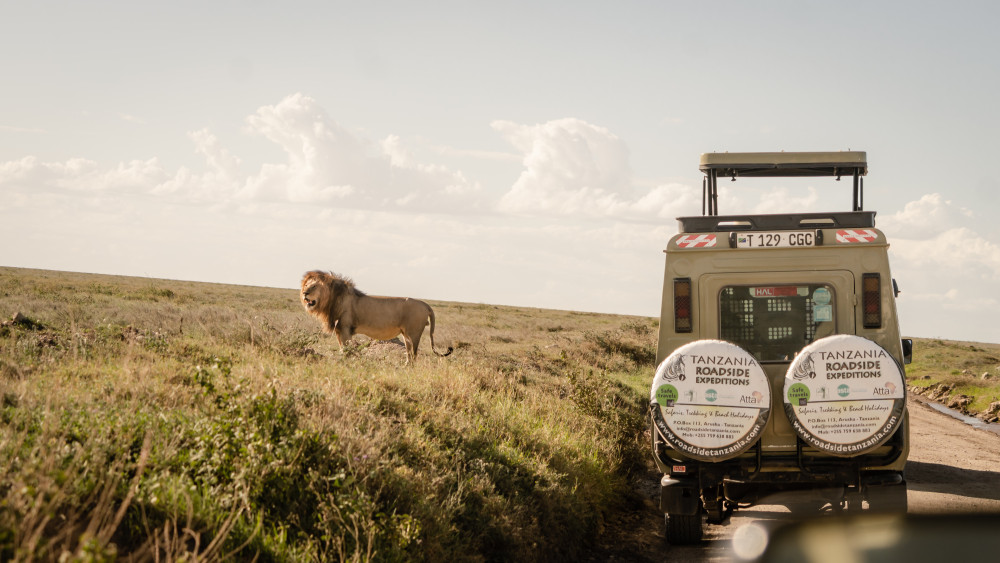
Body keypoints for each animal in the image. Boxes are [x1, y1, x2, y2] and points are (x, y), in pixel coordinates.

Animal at [296, 270, 454, 366]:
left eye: (314, 286)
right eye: (306, 284)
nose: (304, 293)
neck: (331, 299)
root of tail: (425, 304)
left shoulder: (345, 328)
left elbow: (345, 348)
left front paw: (345, 361)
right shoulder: (339, 330)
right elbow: (342, 347)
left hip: (413, 333)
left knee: (414, 354)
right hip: (406, 335)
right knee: (409, 353)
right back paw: (405, 366)